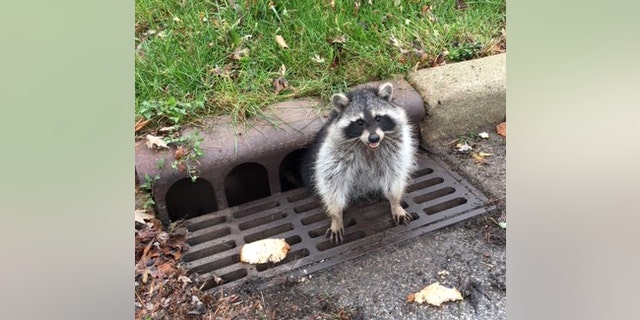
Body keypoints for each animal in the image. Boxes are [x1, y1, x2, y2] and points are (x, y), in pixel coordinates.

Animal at [302, 82, 418, 242]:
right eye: (359, 122)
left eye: (378, 118)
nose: (374, 138)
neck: (367, 146)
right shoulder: (332, 154)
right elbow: (332, 183)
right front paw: (336, 216)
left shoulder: (395, 152)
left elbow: (394, 175)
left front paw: (395, 202)